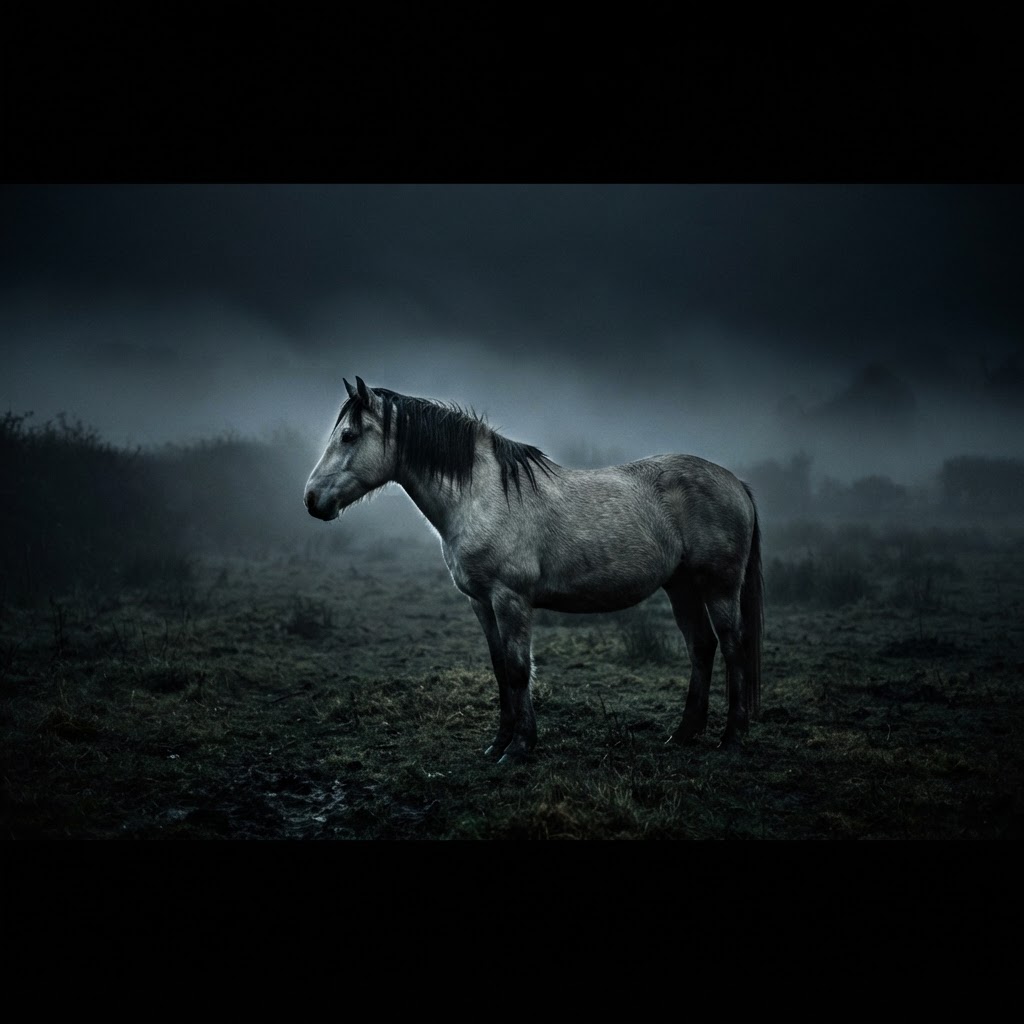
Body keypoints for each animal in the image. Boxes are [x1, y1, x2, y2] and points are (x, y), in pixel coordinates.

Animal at [305, 377, 763, 764]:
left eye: (348, 435)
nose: (311, 499)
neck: (481, 496)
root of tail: (736, 483)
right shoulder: (481, 603)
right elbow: (500, 670)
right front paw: (498, 743)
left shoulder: (511, 599)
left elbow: (519, 669)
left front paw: (521, 747)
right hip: (681, 586)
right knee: (701, 647)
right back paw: (684, 733)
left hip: (719, 587)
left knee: (732, 647)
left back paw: (732, 739)